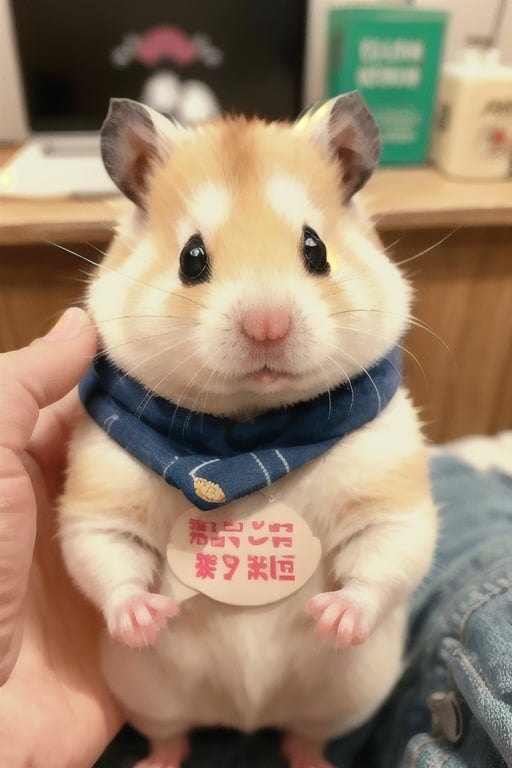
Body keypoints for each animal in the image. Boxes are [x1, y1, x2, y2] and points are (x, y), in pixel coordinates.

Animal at [59, 94, 436, 768]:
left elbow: (385, 557)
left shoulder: (391, 495)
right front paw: (146, 620)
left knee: (305, 735)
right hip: (148, 699)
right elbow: (107, 558)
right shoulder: (98, 500)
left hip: (347, 700)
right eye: (191, 258)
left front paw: (332, 618)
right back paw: (155, 757)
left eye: (316, 249)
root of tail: (244, 717)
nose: (268, 326)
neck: (249, 437)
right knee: (171, 734)